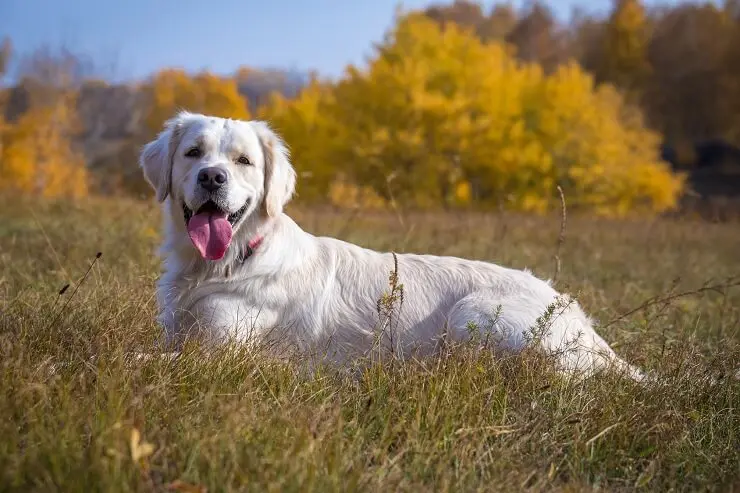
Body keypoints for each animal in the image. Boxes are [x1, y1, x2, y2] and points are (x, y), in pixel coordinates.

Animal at [140, 110, 648, 380]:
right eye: (193, 153)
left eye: (243, 161)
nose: (212, 177)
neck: (224, 263)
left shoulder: (218, 355)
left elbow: (141, 358)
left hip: (471, 316)